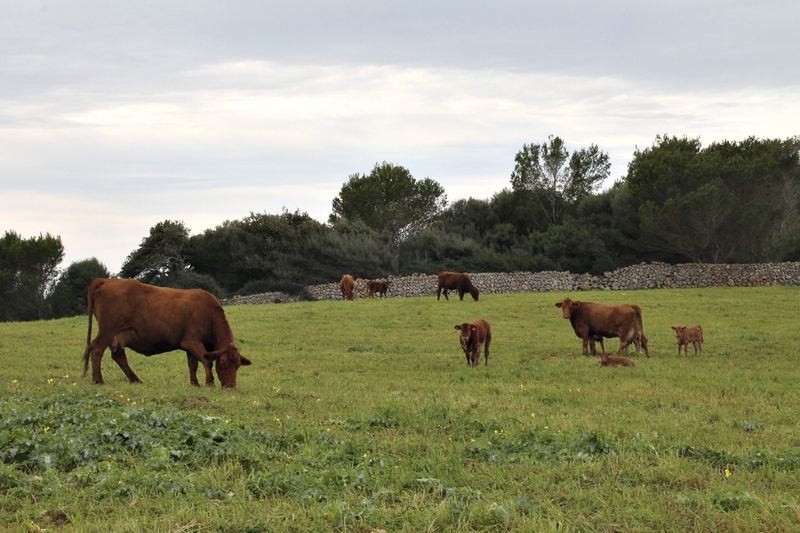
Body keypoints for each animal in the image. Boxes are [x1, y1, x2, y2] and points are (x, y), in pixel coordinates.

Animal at [82, 278, 252, 386]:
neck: (210, 314)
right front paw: (209, 382)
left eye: (238, 366)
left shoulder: (190, 346)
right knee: (96, 349)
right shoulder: (192, 341)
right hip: (108, 331)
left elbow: (193, 364)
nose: (230, 387)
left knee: (119, 356)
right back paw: (98, 380)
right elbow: (206, 361)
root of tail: (107, 280)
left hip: (119, 335)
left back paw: (135, 380)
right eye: (222, 364)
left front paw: (195, 383)